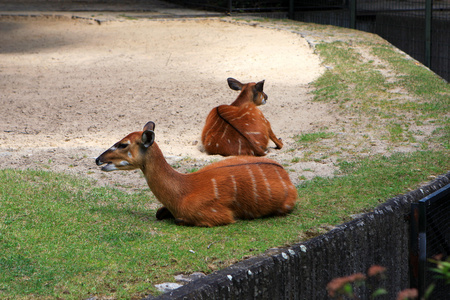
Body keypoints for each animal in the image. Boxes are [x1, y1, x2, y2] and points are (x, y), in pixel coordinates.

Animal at [96, 120, 298, 226]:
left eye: (123, 144)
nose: (98, 159)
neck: (181, 193)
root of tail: (288, 177)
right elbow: (159, 212)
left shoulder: (218, 216)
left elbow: (179, 220)